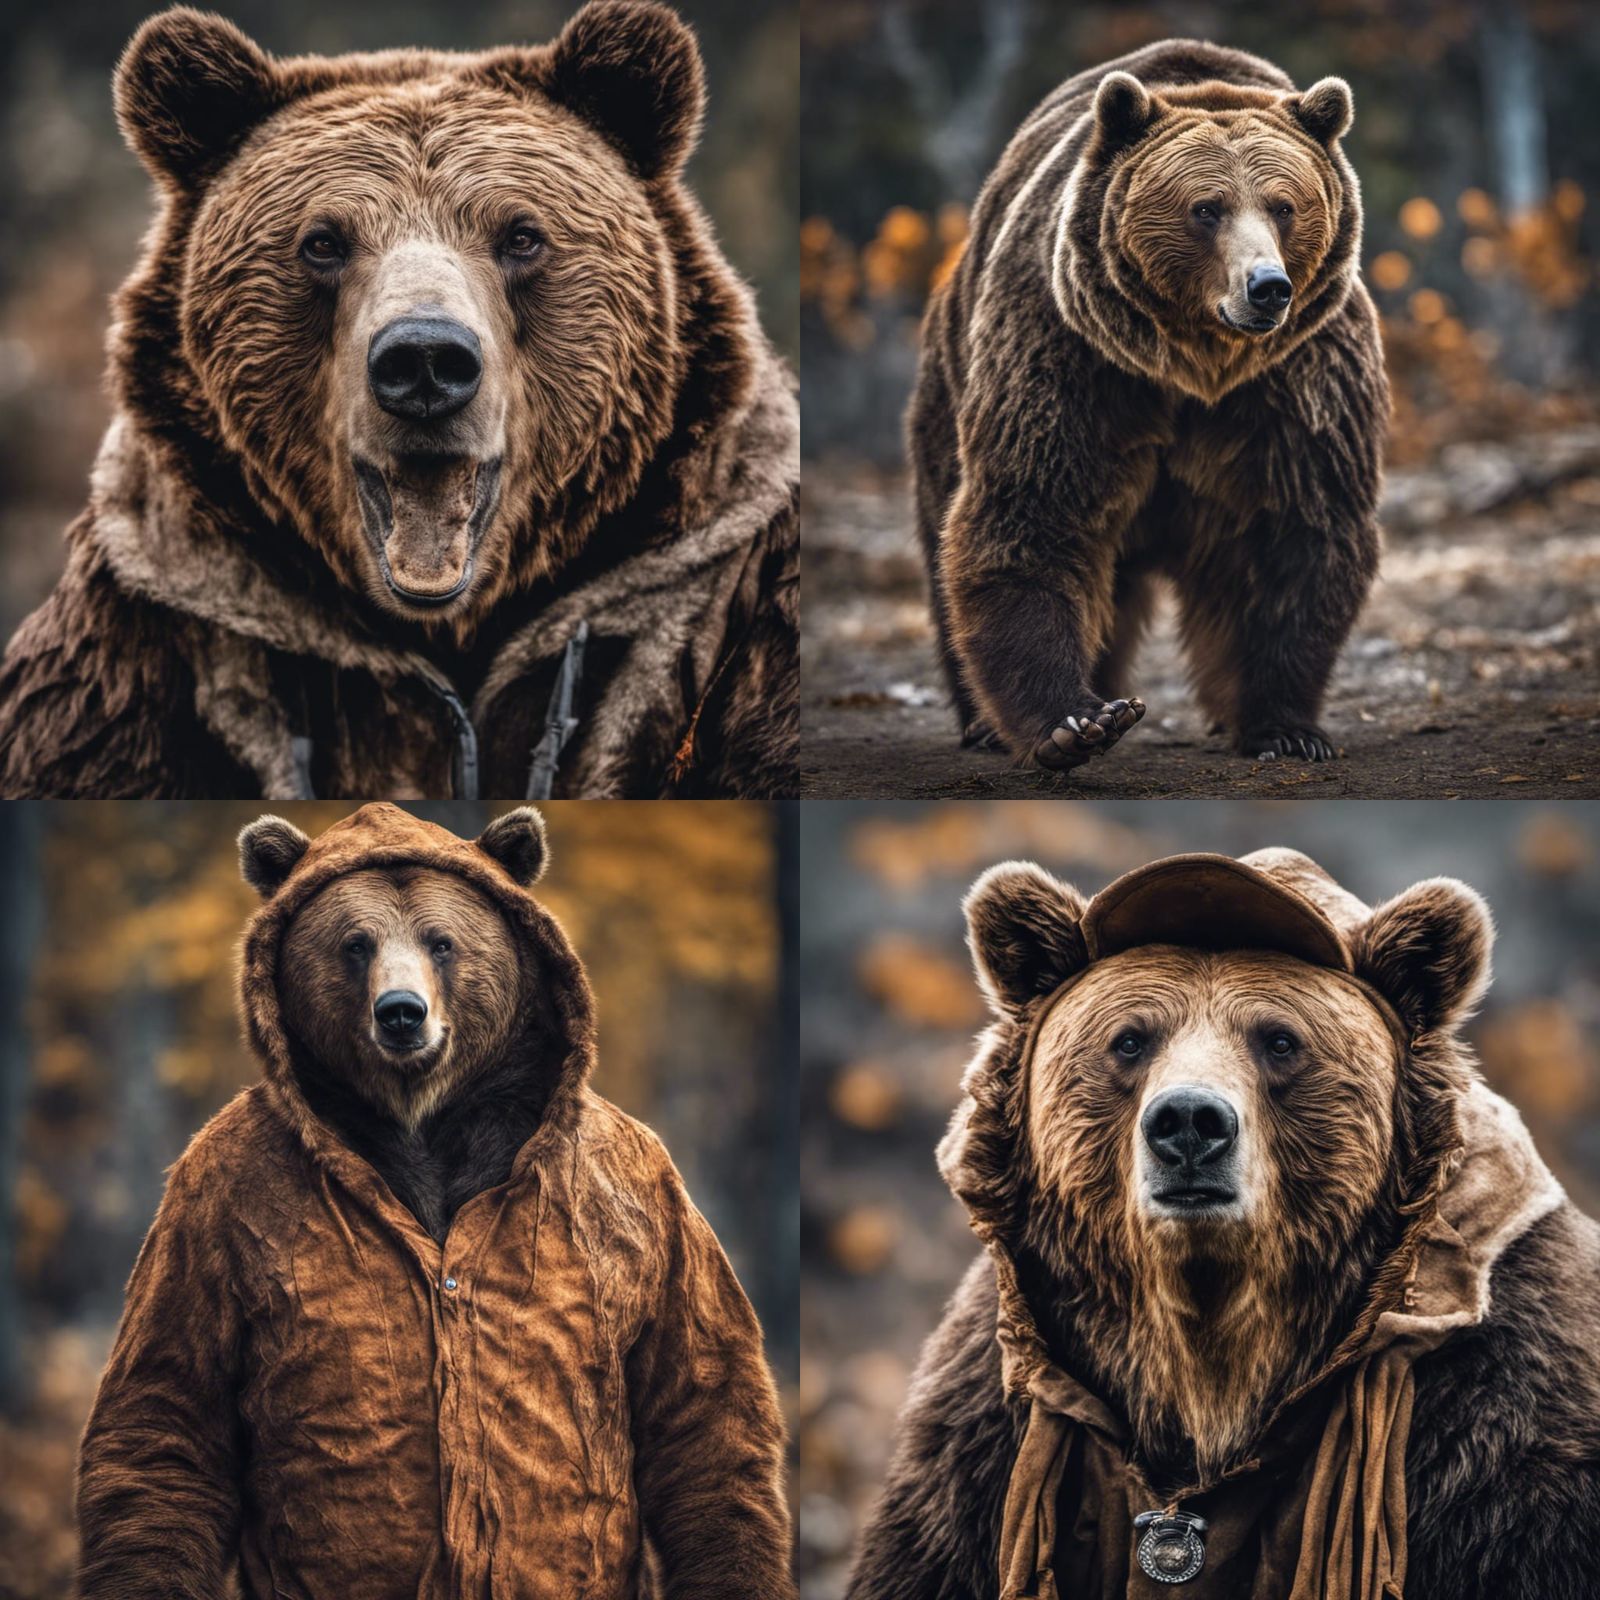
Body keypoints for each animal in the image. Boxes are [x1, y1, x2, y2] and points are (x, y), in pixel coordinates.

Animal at [0, 3, 798, 800]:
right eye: (322, 241)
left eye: (522, 235)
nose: (424, 360)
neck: (448, 626)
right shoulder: (134, 644)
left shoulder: (739, 596)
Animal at [76, 803, 795, 1599]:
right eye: (355, 943)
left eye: (441, 940)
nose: (401, 1012)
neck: (422, 1118)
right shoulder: (216, 1195)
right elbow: (169, 1415)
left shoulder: (635, 1193)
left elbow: (699, 1403)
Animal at [910, 40, 1388, 771]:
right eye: (1206, 208)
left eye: (1284, 205)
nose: (1267, 287)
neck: (1194, 366)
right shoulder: (1075, 356)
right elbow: (1033, 511)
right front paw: (1078, 721)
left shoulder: (1296, 380)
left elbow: (1298, 530)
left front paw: (1286, 728)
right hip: (950, 379)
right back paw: (987, 723)